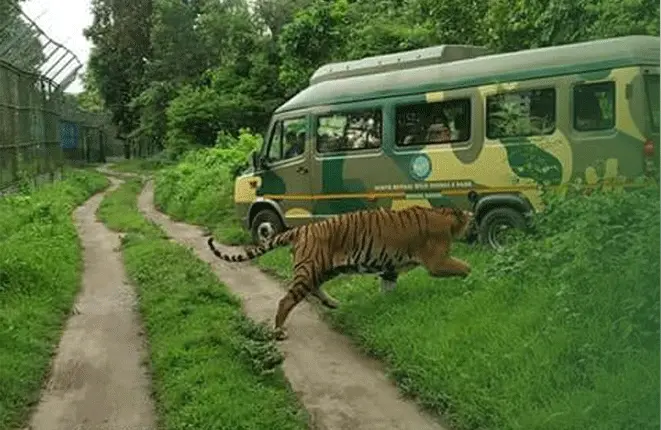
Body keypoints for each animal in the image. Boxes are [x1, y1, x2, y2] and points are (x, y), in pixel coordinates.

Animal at [206, 204, 474, 340]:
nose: (474, 223)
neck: (447, 216)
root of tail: (301, 229)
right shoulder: (437, 262)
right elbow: (465, 267)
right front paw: (470, 283)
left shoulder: (390, 268)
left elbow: (388, 288)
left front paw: (389, 306)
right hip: (312, 268)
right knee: (286, 300)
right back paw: (279, 330)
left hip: (326, 269)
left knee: (313, 290)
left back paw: (333, 303)